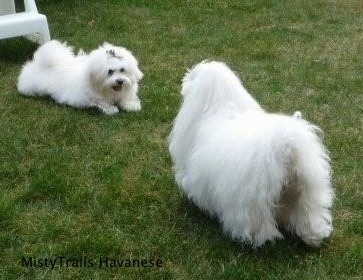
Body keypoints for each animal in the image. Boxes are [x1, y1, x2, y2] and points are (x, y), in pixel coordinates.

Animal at [171, 60, 336, 247]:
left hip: (252, 200)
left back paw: (256, 239)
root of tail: (287, 146)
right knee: (309, 214)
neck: (219, 108)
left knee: (256, 222)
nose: (185, 78)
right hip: (306, 189)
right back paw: (313, 235)